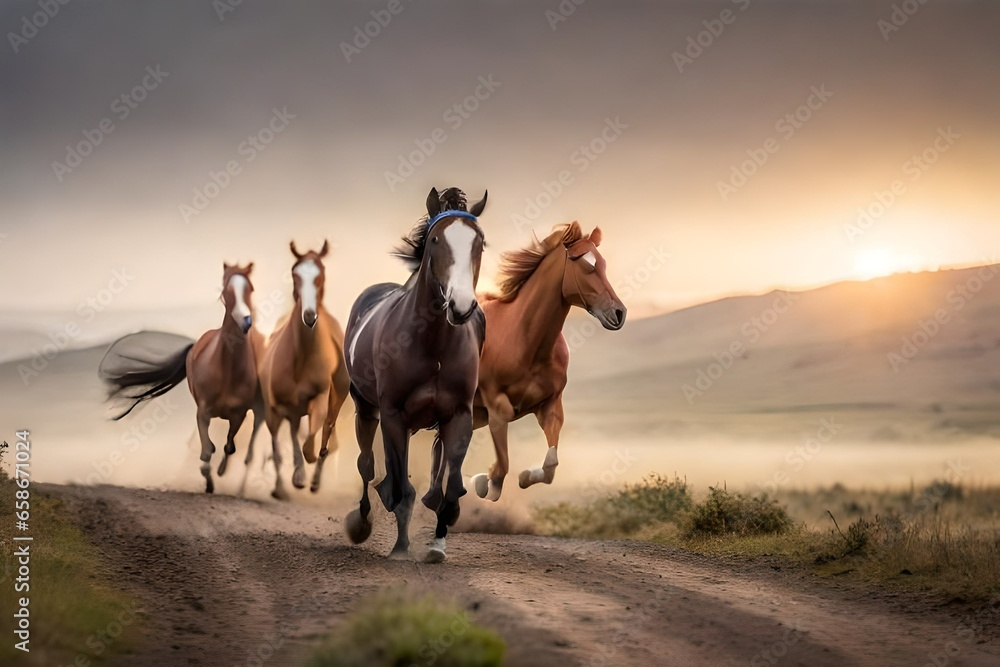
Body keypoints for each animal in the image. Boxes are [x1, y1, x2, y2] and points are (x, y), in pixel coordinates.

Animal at [99, 262, 265, 493]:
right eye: (226, 291)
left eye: (250, 288)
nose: (246, 321)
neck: (227, 369)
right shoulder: (203, 412)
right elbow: (207, 448)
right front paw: (208, 479)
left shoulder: (238, 414)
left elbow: (228, 446)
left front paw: (219, 472)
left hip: (258, 411)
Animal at [257, 240, 350, 500]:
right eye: (295, 274)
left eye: (321, 274)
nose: (309, 316)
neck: (301, 357)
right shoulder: (279, 405)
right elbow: (284, 443)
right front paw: (292, 478)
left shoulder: (319, 398)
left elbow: (311, 441)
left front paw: (305, 470)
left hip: (335, 400)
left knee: (326, 431)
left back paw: (315, 480)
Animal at [343, 186, 488, 563]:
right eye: (436, 240)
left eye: (480, 242)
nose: (461, 306)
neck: (433, 343)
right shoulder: (393, 414)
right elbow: (398, 485)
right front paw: (400, 548)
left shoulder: (459, 414)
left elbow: (450, 486)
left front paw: (437, 544)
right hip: (366, 408)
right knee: (366, 464)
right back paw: (361, 521)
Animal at [469, 222, 626, 502]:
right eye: (580, 261)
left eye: (603, 263)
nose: (618, 313)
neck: (525, 340)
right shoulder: (495, 404)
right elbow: (502, 463)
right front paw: (485, 482)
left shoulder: (551, 406)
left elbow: (551, 464)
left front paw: (523, 476)